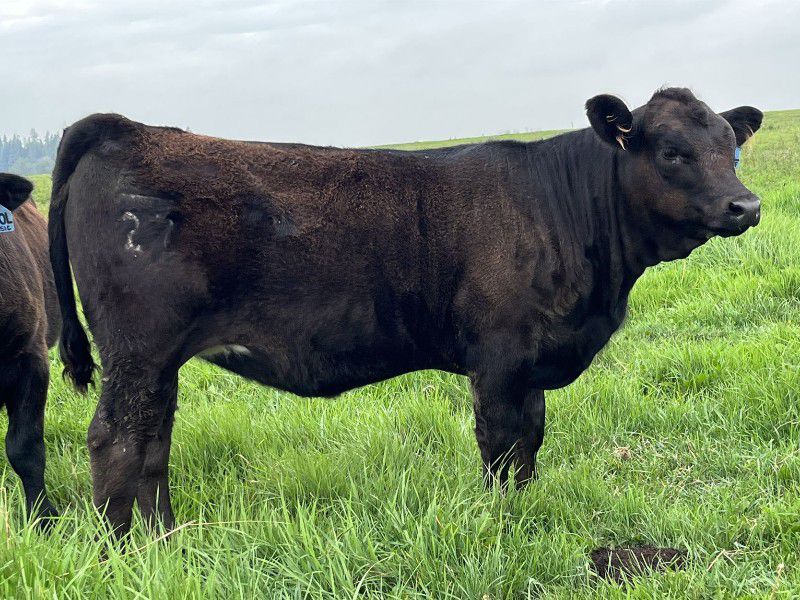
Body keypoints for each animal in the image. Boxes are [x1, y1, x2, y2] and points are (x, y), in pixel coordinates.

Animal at [49, 87, 762, 536]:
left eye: (732, 147)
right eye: (670, 150)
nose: (746, 205)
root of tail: (126, 128)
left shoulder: (529, 363)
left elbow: (530, 442)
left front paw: (526, 510)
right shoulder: (499, 358)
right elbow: (501, 447)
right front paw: (504, 524)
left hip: (157, 362)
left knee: (152, 443)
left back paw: (168, 536)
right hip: (138, 350)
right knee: (116, 442)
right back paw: (129, 549)